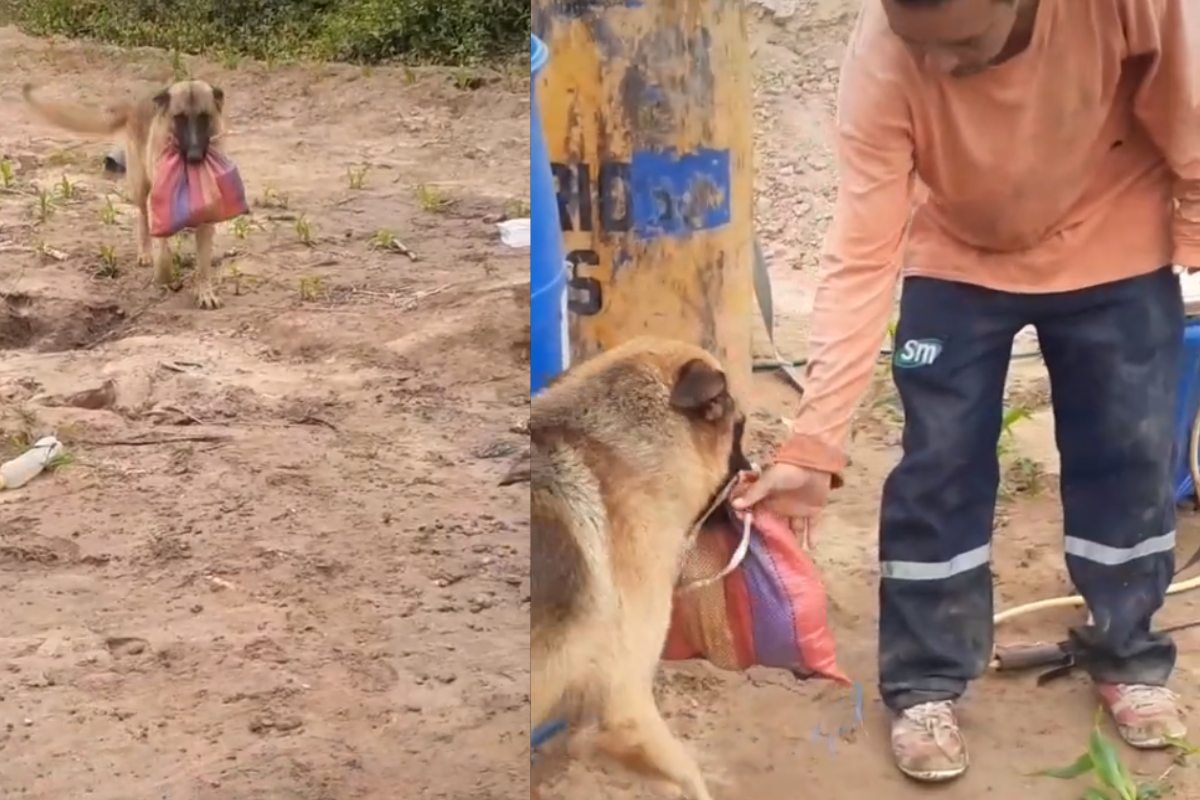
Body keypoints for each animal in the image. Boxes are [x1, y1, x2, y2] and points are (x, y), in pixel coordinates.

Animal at [23, 79, 228, 309]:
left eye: (204, 117)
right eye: (179, 118)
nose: (194, 156)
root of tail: (135, 105)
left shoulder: (206, 218)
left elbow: (203, 265)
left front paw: (205, 292)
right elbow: (163, 251)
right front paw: (164, 275)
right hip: (140, 186)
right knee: (143, 218)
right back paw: (146, 253)